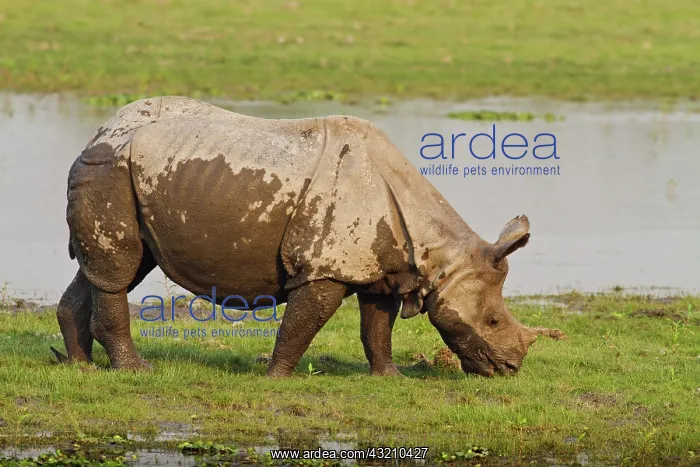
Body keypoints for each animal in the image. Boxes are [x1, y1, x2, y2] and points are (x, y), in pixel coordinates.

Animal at [53, 96, 560, 377]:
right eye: (491, 322)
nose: (511, 369)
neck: (438, 254)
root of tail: (101, 130)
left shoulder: (381, 267)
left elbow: (377, 326)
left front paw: (390, 377)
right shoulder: (324, 267)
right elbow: (303, 324)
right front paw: (276, 378)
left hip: (128, 171)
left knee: (113, 268)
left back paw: (80, 367)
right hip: (111, 168)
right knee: (119, 270)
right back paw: (137, 370)